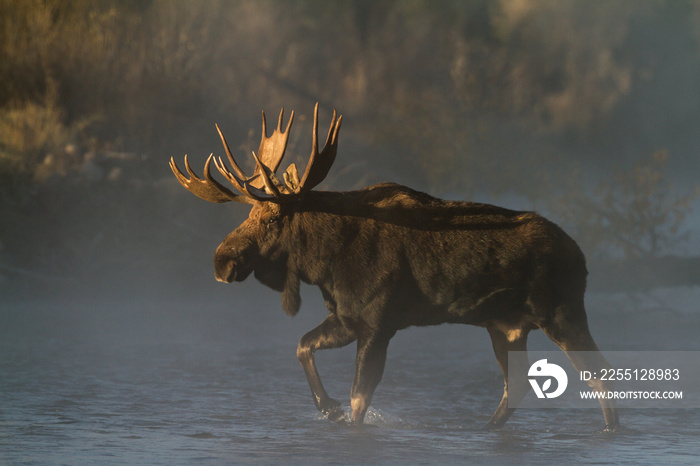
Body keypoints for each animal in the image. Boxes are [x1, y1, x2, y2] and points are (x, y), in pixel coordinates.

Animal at [170, 102, 616, 430]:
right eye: (248, 215)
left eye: (272, 218)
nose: (221, 261)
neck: (324, 262)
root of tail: (582, 256)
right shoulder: (348, 317)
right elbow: (303, 346)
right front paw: (327, 407)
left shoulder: (377, 322)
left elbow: (359, 398)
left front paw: (342, 414)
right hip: (505, 326)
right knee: (517, 386)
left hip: (560, 312)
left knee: (599, 374)